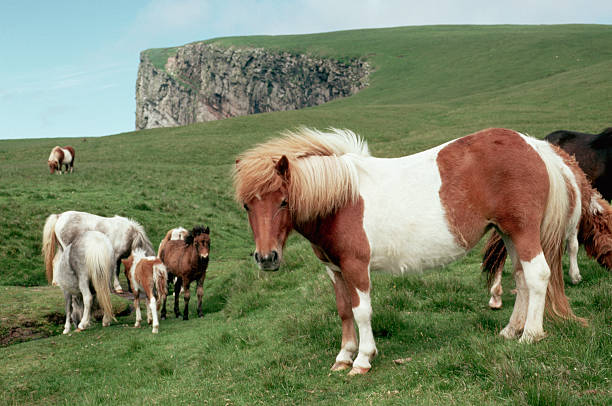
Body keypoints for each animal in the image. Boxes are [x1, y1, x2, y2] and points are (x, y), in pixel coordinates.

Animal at [232, 128, 612, 376]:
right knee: (520, 278)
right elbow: (343, 311)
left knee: (537, 276)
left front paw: (363, 360)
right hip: (508, 234)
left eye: (283, 201)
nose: (267, 259)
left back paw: (530, 335)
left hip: (523, 230)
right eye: (247, 205)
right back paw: (510, 330)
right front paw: (343, 356)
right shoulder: (335, 270)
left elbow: (362, 312)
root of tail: (534, 146)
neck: (341, 198)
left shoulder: (356, 266)